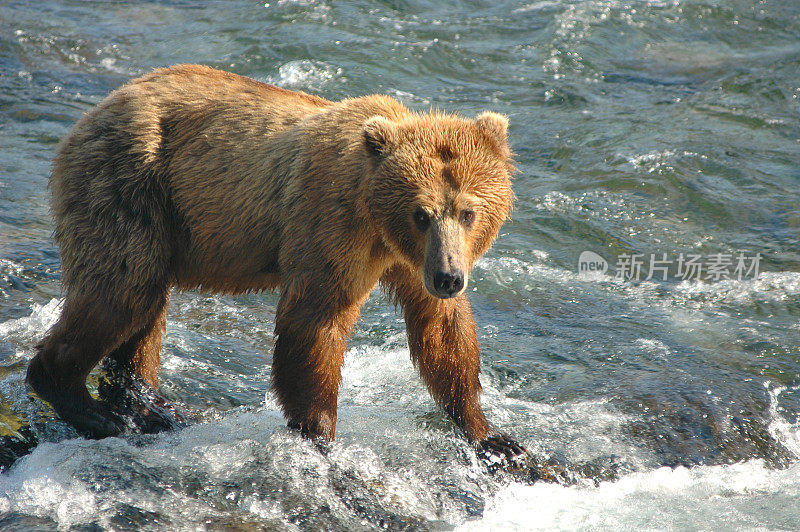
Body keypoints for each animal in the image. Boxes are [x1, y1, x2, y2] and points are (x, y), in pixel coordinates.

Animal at [26, 64, 524, 464]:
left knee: (143, 309)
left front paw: (491, 436)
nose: (449, 277)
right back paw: (85, 404)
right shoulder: (330, 224)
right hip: (130, 184)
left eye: (468, 211)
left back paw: (149, 403)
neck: (378, 222)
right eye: (421, 213)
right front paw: (320, 435)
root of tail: (96, 110)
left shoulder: (412, 261)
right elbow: (315, 321)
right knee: (122, 291)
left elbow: (441, 330)